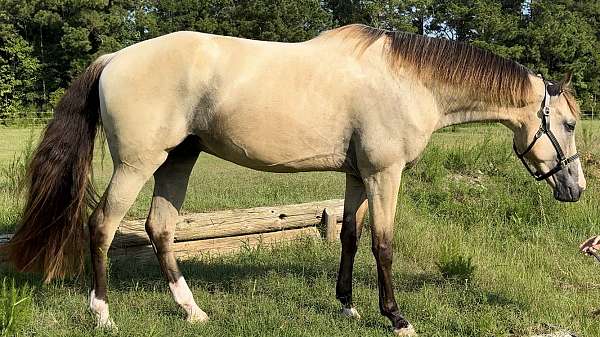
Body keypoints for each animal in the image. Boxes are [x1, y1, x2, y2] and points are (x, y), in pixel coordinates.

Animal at [3, 25, 584, 334]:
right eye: (570, 124)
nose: (575, 189)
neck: (407, 81)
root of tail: (115, 57)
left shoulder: (357, 177)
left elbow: (350, 237)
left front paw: (347, 304)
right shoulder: (384, 175)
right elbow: (383, 244)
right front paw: (396, 317)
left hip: (176, 162)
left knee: (160, 229)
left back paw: (192, 310)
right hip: (136, 165)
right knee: (101, 225)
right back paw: (102, 313)